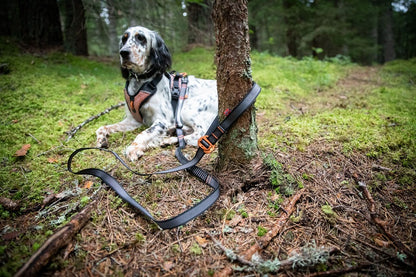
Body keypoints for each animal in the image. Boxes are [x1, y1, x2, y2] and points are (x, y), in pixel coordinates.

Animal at [94, 27, 218, 161]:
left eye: (141, 38)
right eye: (124, 39)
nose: (123, 52)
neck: (142, 81)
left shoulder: (162, 120)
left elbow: (143, 133)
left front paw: (133, 148)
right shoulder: (133, 120)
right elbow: (103, 127)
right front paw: (101, 139)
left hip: (186, 108)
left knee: (201, 135)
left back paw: (166, 139)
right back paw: (170, 135)